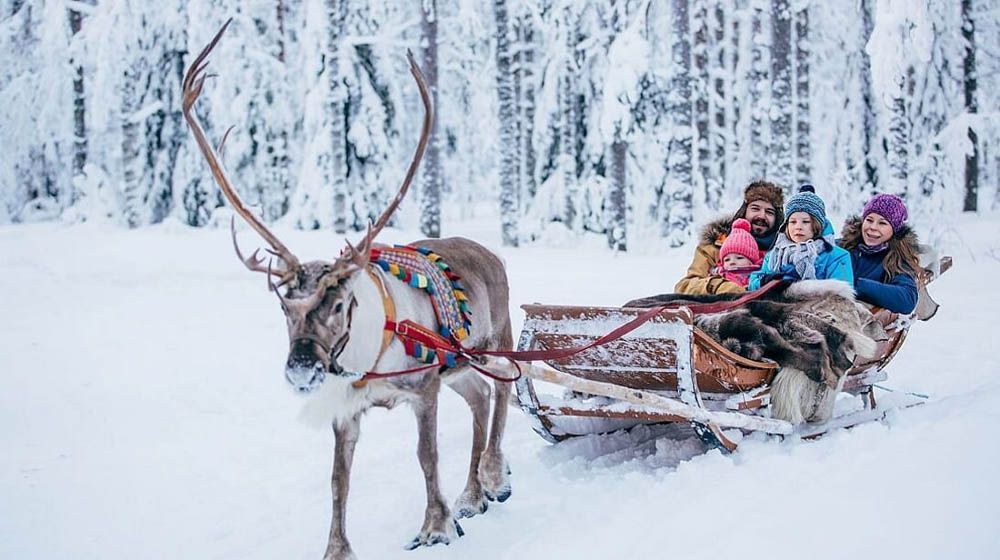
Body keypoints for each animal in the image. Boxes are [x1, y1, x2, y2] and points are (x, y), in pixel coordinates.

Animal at [182, 21, 514, 560]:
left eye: (337, 304)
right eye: (284, 308)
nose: (300, 369)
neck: (368, 356)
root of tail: (490, 252)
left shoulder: (424, 387)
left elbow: (426, 455)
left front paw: (436, 526)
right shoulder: (346, 408)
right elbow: (338, 480)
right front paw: (337, 549)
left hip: (492, 341)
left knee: (504, 386)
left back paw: (491, 477)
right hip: (459, 366)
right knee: (481, 396)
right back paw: (471, 495)